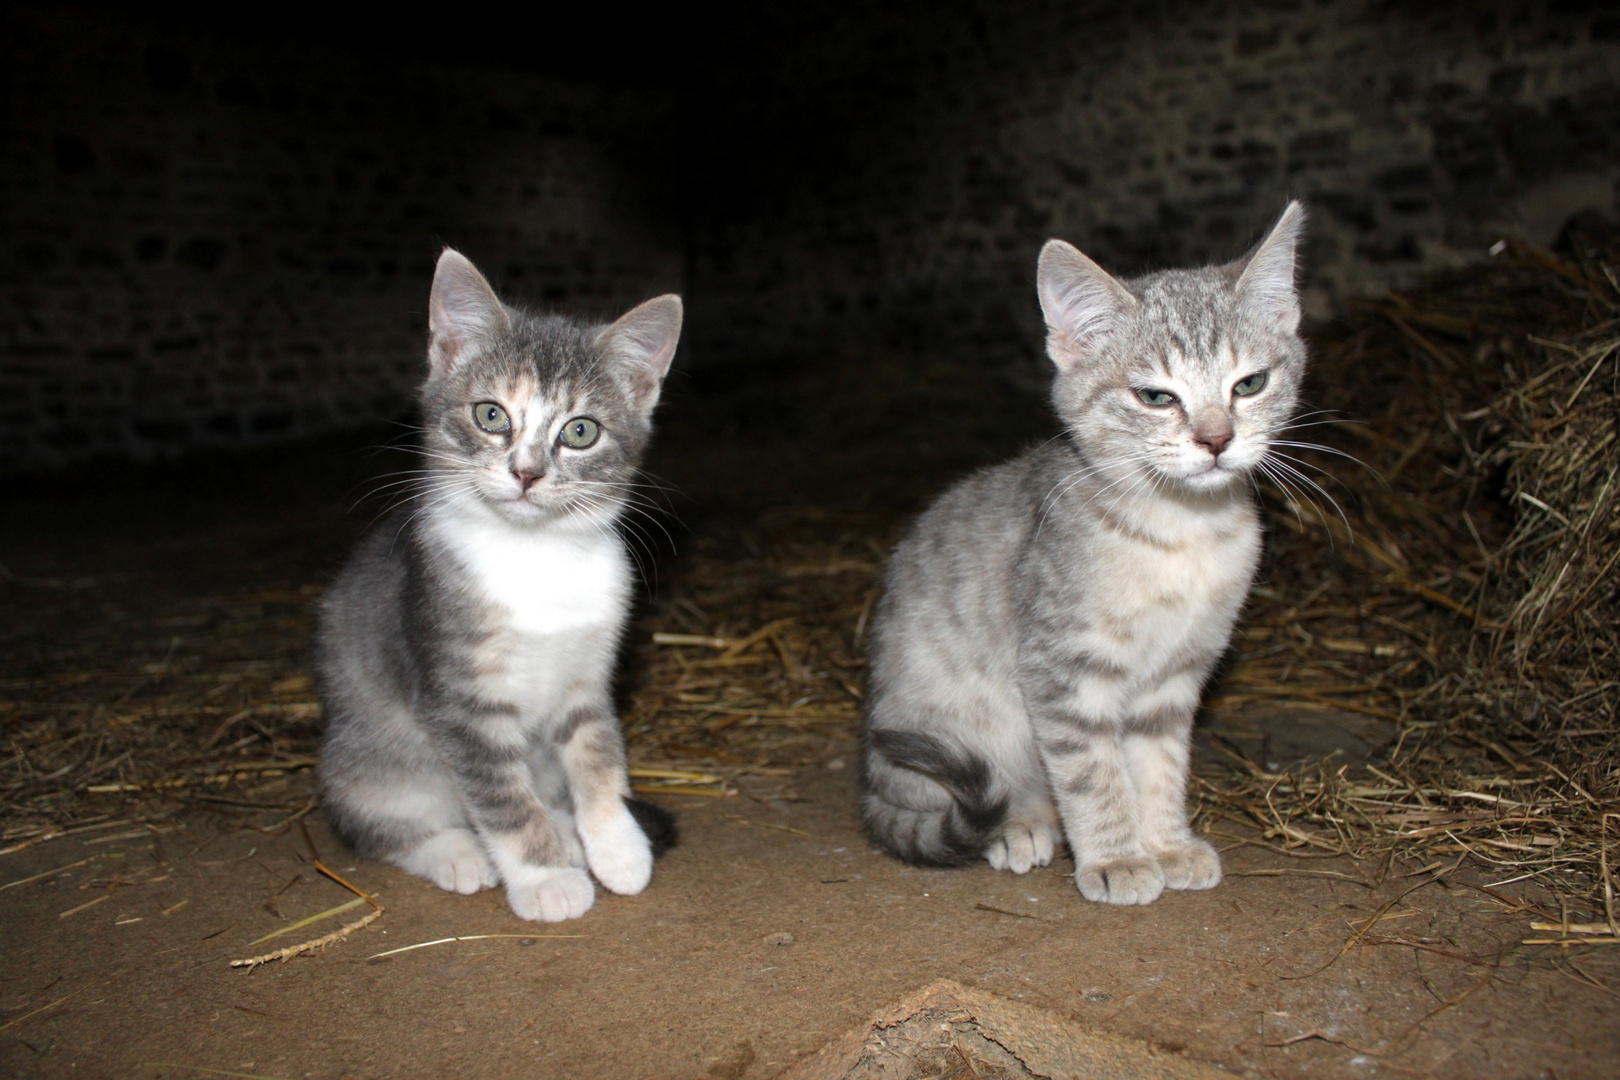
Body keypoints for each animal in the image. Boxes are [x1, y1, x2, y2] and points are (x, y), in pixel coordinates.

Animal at [319, 249, 680, 926]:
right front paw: (546, 879)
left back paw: (564, 828)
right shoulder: (460, 699)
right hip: (369, 755)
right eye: (491, 415)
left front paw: (617, 844)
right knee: (373, 822)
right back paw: (456, 852)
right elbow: (504, 799)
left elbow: (599, 755)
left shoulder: (587, 677)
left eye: (580, 431)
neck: (535, 554)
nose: (526, 472)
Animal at [855, 200, 1308, 906]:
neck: (1182, 532)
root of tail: (870, 779)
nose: (1216, 440)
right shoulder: (1062, 672)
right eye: (1156, 396)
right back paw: (1017, 826)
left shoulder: (1175, 677)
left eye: (1250, 384)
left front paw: (1166, 843)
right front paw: (1117, 857)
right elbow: (1093, 774)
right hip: (944, 725)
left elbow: (1157, 767)